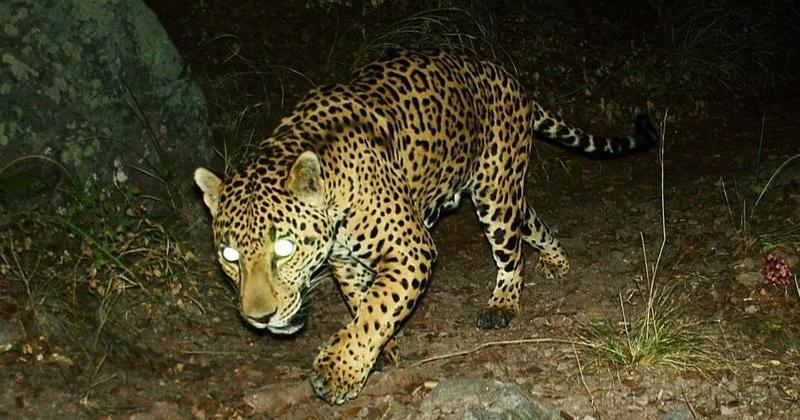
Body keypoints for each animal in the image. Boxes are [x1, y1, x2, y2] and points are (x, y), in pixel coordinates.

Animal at [194, 49, 656, 405]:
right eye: (229, 255)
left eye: (285, 248)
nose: (260, 318)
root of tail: (507, 76)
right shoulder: (345, 262)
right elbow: (364, 302)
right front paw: (378, 351)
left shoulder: (410, 247)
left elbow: (377, 307)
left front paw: (339, 372)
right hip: (506, 191)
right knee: (533, 221)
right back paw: (558, 262)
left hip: (495, 193)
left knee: (510, 253)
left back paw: (503, 305)